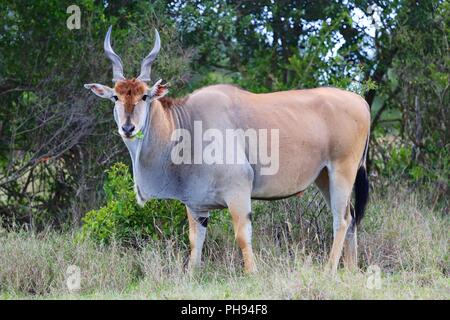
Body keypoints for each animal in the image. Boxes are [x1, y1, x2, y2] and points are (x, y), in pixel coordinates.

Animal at [84, 26, 370, 272]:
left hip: (342, 171)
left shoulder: (238, 191)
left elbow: (242, 236)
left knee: (341, 220)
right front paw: (192, 275)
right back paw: (350, 270)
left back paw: (329, 270)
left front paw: (252, 274)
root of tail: (361, 101)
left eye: (144, 96)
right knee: (351, 217)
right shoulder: (196, 206)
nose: (128, 128)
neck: (187, 126)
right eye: (115, 97)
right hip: (324, 177)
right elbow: (195, 241)